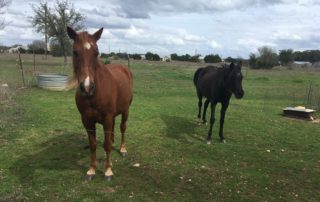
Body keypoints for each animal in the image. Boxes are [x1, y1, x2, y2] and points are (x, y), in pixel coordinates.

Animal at [67, 26, 133, 180]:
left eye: (96, 53)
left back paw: (122, 149)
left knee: (122, 127)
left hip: (125, 110)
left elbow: (107, 145)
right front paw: (91, 169)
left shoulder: (107, 118)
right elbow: (93, 144)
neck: (94, 95)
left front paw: (108, 170)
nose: (87, 87)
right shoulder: (87, 120)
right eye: (75, 52)